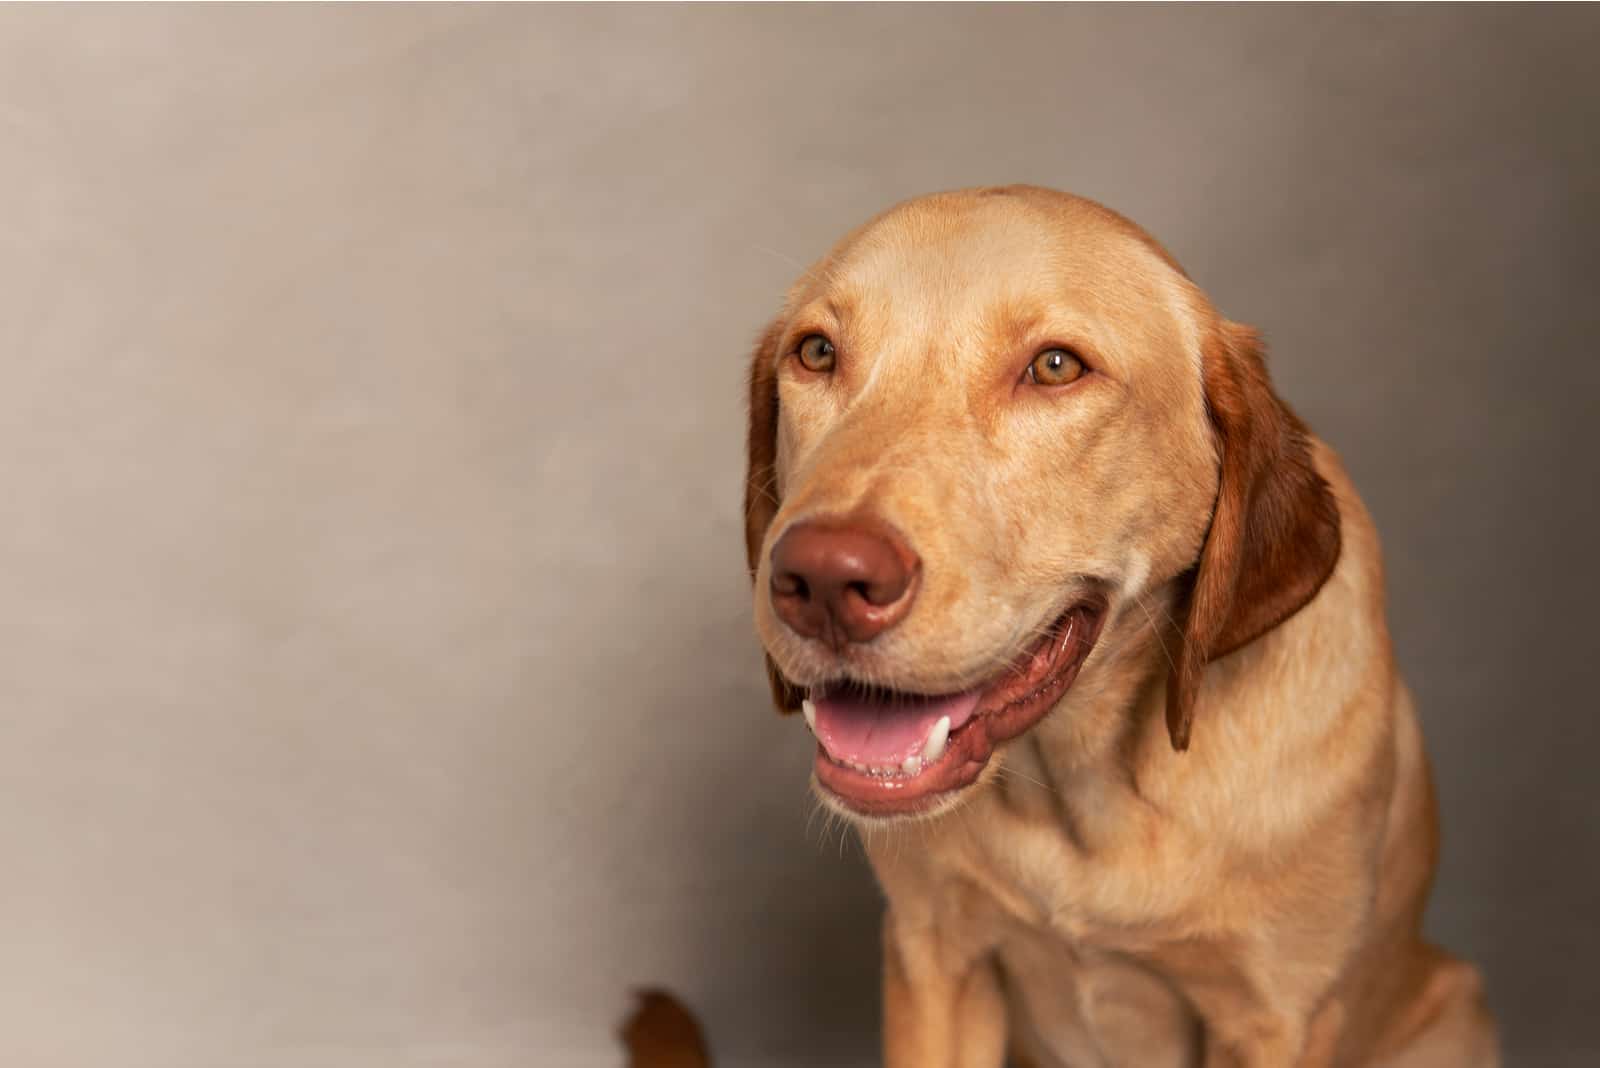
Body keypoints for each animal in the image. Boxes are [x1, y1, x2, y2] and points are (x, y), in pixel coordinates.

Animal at [742, 187, 1491, 1061]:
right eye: (817, 353)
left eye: (1055, 367)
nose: (824, 580)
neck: (1083, 795)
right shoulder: (935, 959)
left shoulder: (1275, 1018)